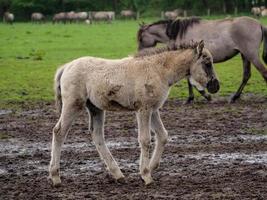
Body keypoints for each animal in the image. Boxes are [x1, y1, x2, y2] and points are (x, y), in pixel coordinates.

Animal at [48, 41, 220, 187]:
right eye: (207, 63)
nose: (215, 86)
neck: (159, 70)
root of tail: (66, 67)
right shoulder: (143, 109)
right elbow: (145, 140)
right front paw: (146, 175)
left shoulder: (153, 109)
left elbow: (163, 135)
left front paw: (150, 168)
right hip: (73, 105)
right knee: (59, 132)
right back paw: (55, 177)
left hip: (96, 109)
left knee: (97, 136)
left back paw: (118, 175)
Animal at [137, 16, 267, 102]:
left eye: (141, 38)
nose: (139, 54)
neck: (179, 33)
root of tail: (259, 24)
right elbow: (189, 81)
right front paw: (193, 97)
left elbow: (190, 81)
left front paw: (203, 96)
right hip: (245, 55)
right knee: (246, 75)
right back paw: (235, 97)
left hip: (251, 55)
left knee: (263, 72)